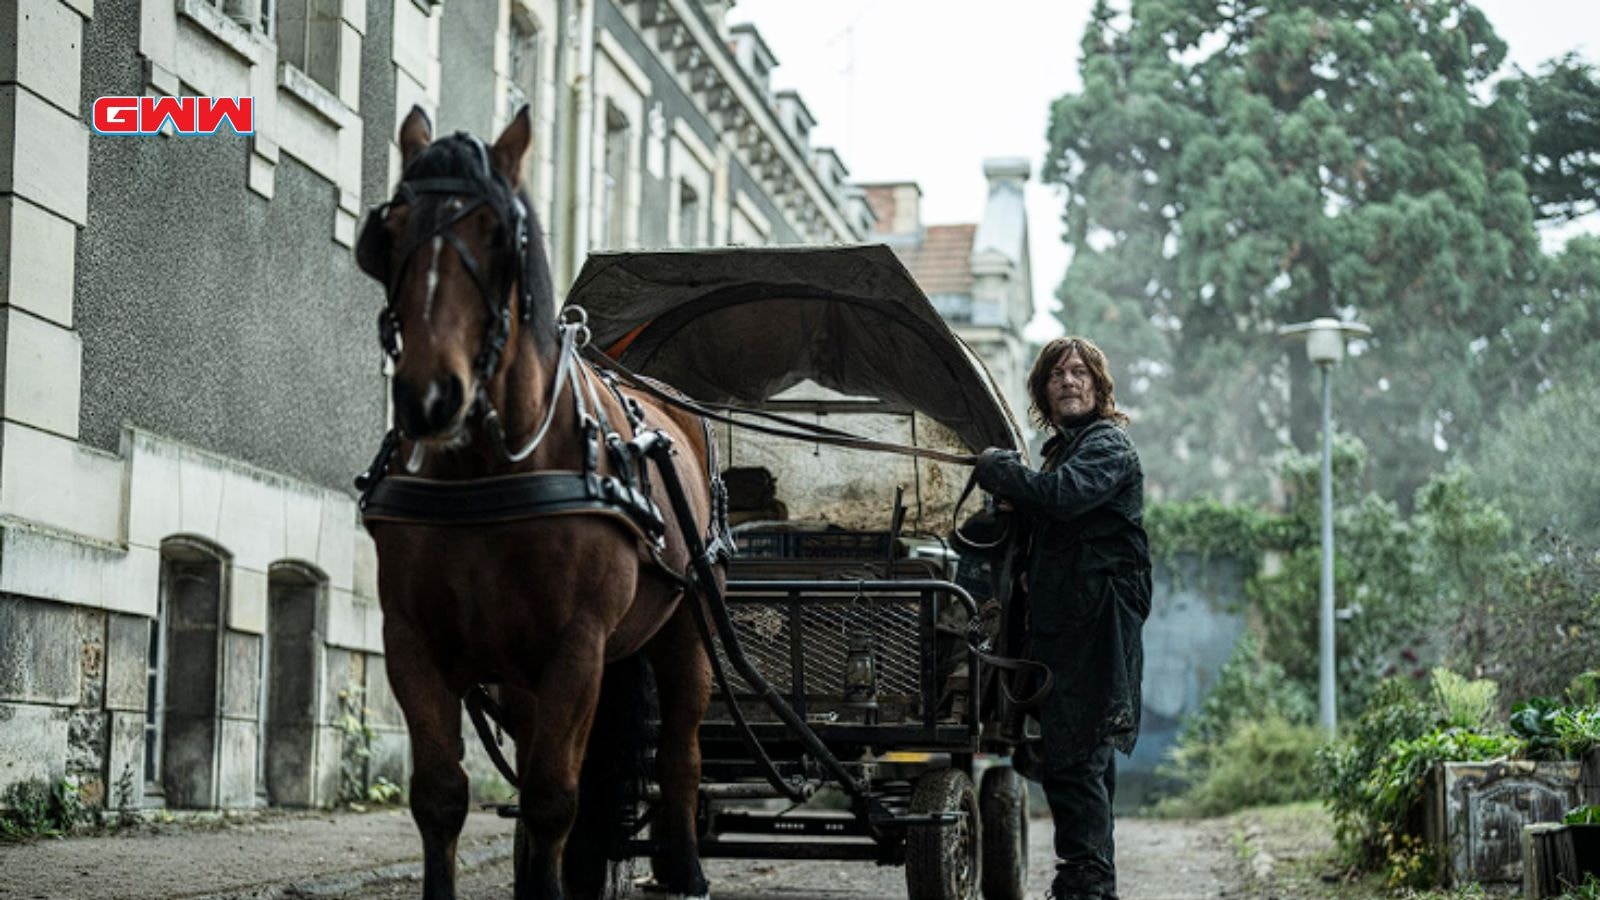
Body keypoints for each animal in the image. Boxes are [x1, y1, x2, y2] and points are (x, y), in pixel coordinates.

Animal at [360, 104, 723, 896]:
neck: (485, 472)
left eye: (500, 234)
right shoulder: (413, 640)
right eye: (390, 232)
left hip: (686, 626)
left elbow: (556, 797)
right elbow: (442, 798)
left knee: (680, 748)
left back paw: (684, 866)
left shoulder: (577, 647)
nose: (429, 397)